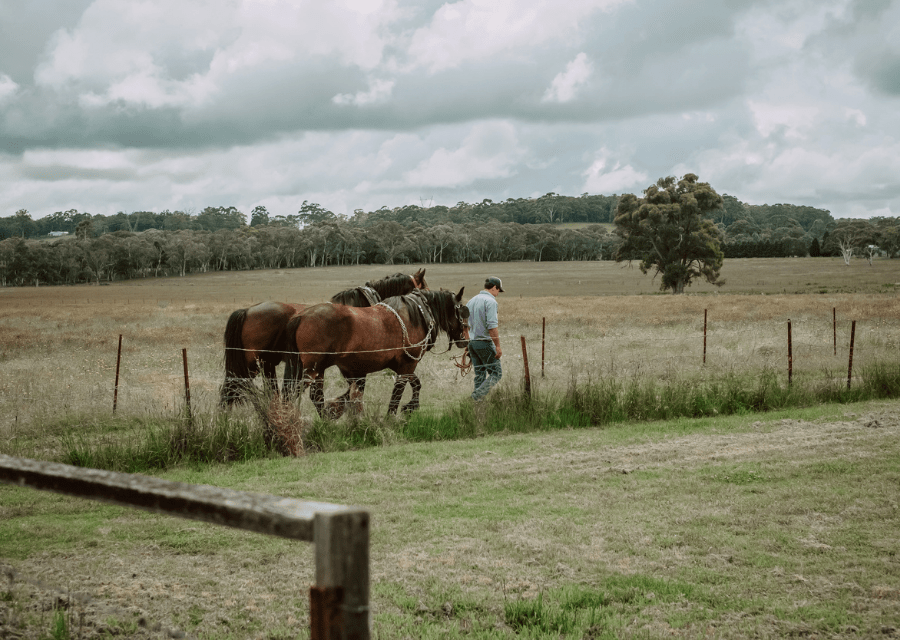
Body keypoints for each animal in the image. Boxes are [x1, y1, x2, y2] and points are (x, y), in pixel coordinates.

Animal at [285, 287, 469, 416]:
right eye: (462, 312)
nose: (465, 340)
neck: (417, 313)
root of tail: (301, 316)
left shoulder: (398, 364)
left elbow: (416, 383)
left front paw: (410, 407)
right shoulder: (409, 363)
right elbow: (398, 392)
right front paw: (393, 415)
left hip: (315, 369)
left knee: (309, 395)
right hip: (313, 369)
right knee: (300, 393)